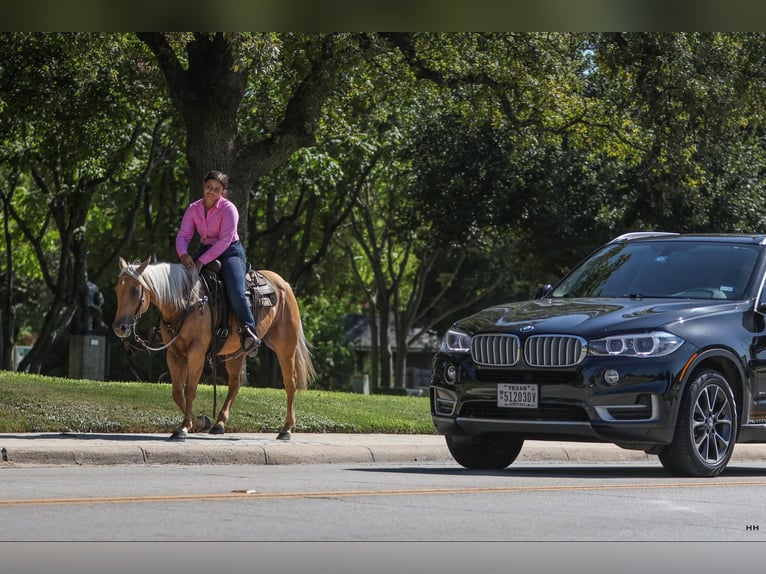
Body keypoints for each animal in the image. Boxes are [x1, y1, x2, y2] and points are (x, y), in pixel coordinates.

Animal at [112, 258, 316, 444]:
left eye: (135, 290)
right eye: (117, 290)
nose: (119, 327)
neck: (188, 303)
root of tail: (284, 284)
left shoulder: (197, 352)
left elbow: (190, 390)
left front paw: (184, 428)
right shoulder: (174, 354)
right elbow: (177, 393)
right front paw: (201, 421)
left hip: (286, 348)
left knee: (290, 383)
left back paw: (286, 429)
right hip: (238, 353)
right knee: (235, 383)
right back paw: (219, 423)